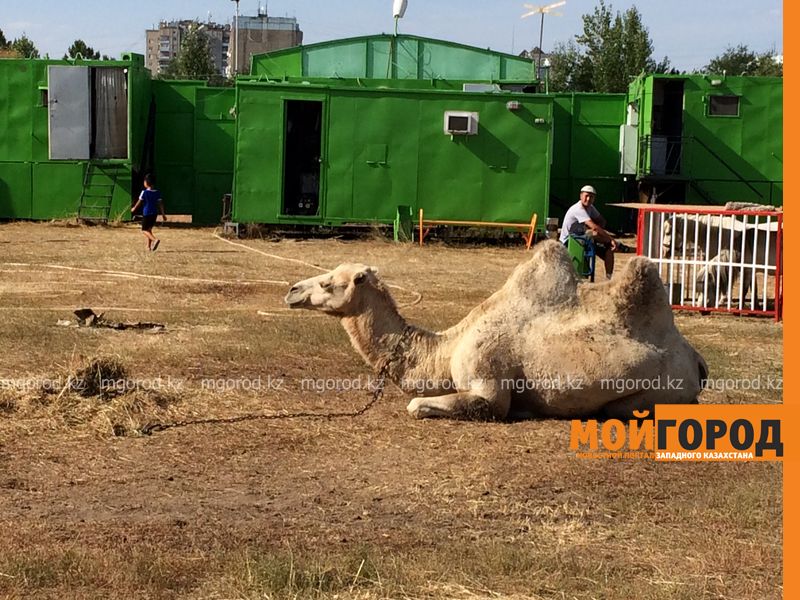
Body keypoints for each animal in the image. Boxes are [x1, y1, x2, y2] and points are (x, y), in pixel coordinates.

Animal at [285, 240, 708, 420]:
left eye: (329, 283)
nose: (291, 290)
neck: (445, 349)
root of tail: (696, 361)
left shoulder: (488, 384)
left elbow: (418, 405)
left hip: (656, 392)